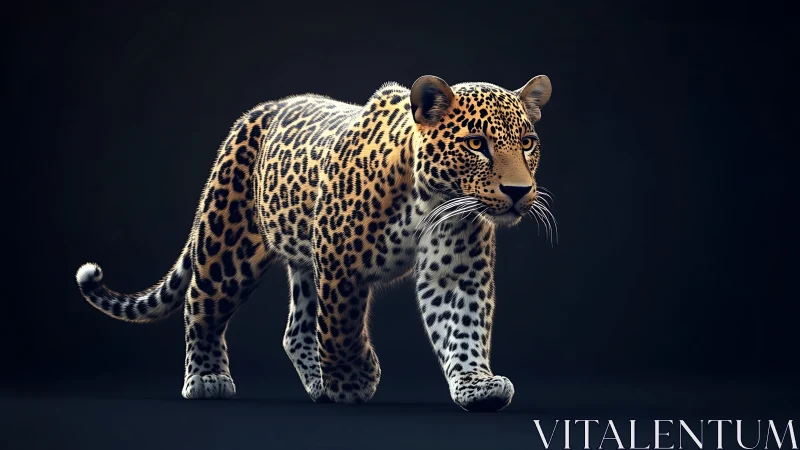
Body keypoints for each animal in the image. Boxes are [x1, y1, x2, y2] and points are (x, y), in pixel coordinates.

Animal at [75, 74, 553, 412]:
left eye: (527, 142)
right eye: (476, 144)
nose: (518, 191)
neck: (431, 200)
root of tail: (260, 110)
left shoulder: (456, 270)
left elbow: (464, 327)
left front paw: (477, 384)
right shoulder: (341, 260)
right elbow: (341, 325)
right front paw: (353, 381)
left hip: (302, 261)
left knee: (297, 330)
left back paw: (317, 383)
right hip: (229, 244)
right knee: (201, 303)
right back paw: (207, 378)